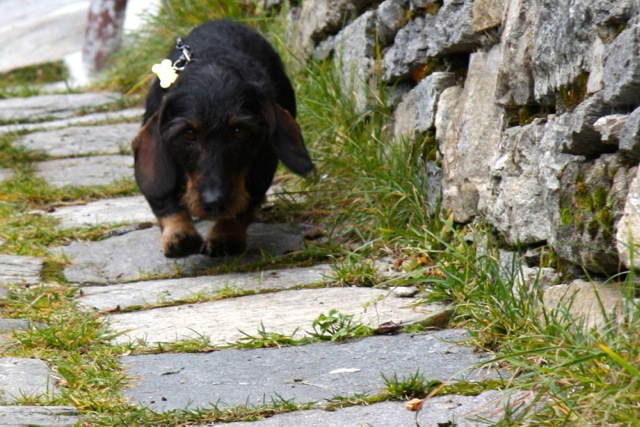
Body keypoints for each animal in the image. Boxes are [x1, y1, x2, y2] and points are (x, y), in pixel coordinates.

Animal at [132, 20, 314, 258]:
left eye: (238, 131)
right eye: (188, 133)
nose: (214, 203)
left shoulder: (263, 166)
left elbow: (246, 203)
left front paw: (225, 235)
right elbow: (163, 199)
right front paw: (179, 234)